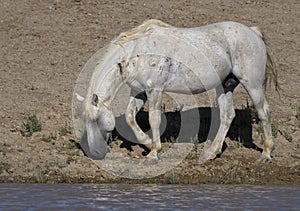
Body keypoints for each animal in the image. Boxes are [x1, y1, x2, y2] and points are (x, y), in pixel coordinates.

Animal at [81, 19, 278, 164]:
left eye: (95, 120)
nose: (96, 153)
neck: (138, 51)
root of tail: (253, 32)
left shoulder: (154, 91)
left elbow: (154, 119)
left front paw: (153, 153)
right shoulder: (139, 91)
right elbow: (130, 117)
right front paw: (147, 143)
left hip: (252, 85)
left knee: (264, 112)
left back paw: (266, 154)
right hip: (225, 86)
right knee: (227, 116)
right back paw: (210, 153)